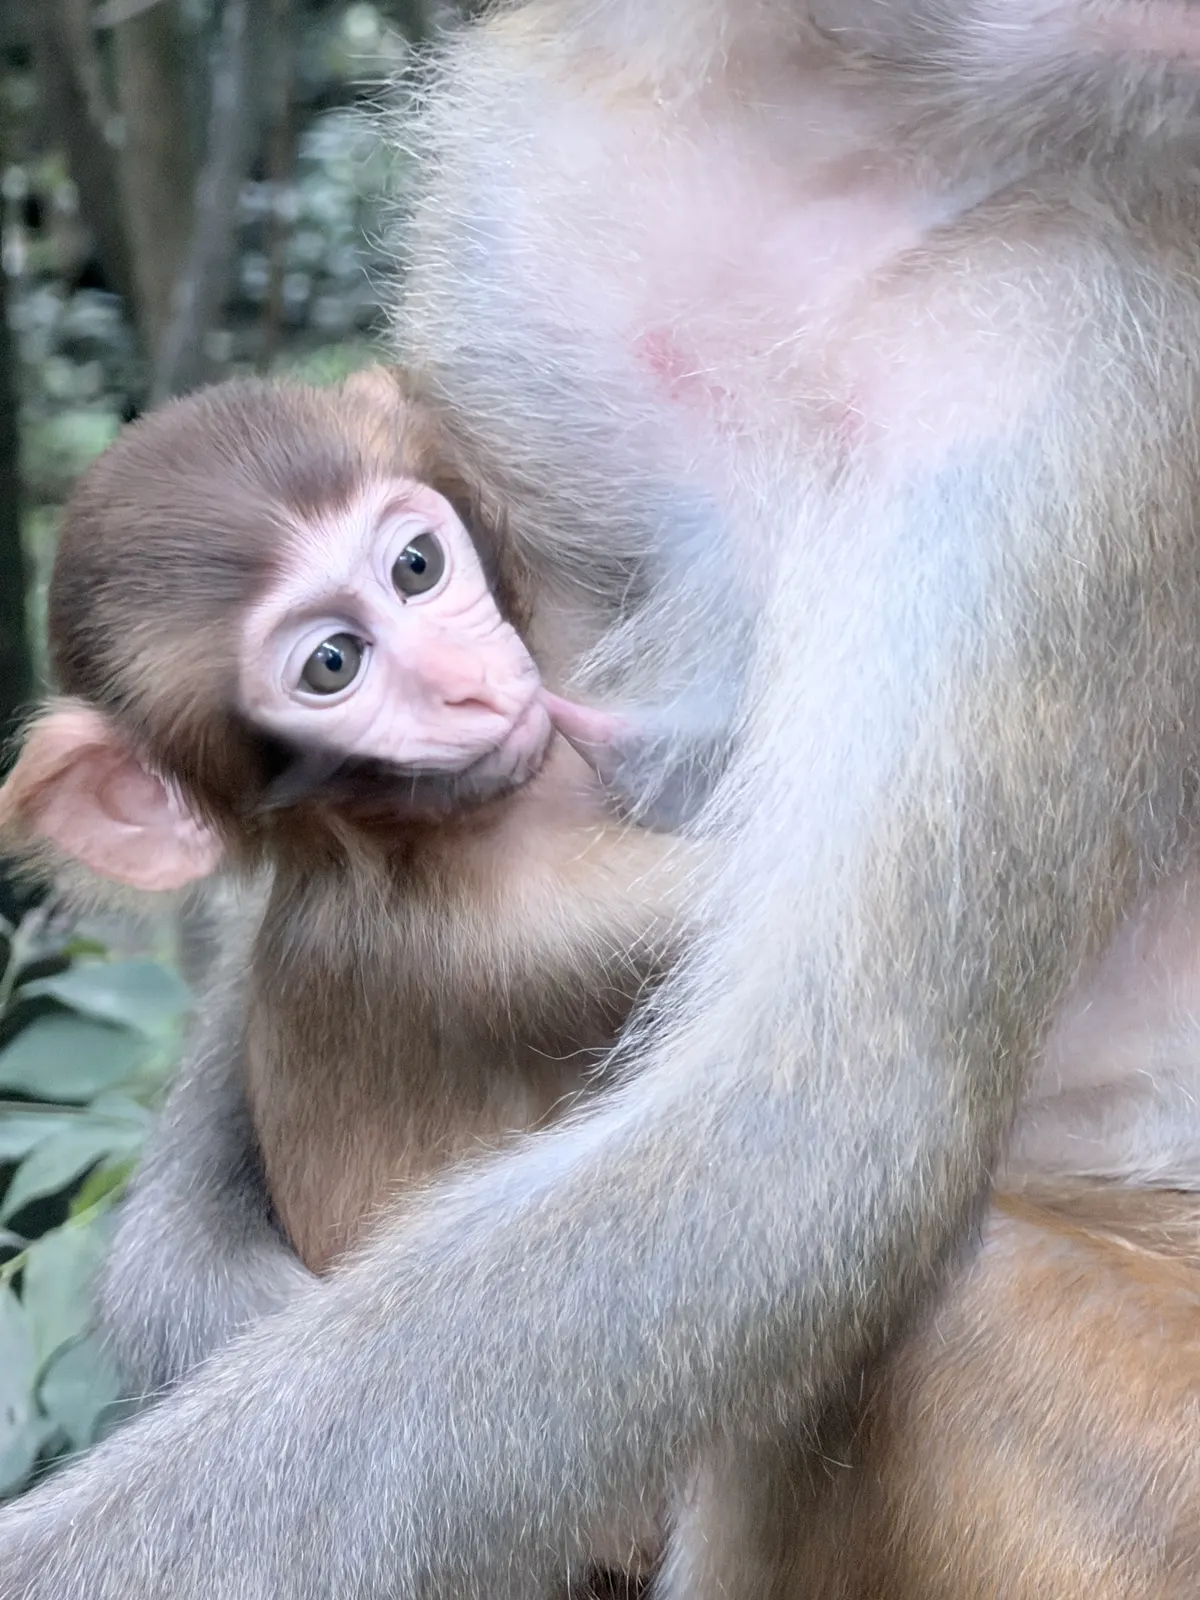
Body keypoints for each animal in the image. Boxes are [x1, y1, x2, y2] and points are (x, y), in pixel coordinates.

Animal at [4, 2, 1200, 1596]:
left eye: (413, 572)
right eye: (344, 651)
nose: (460, 689)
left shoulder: (1061, 350)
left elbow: (802, 1139)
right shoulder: (526, 189)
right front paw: (187, 1280)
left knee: (962, 1299)